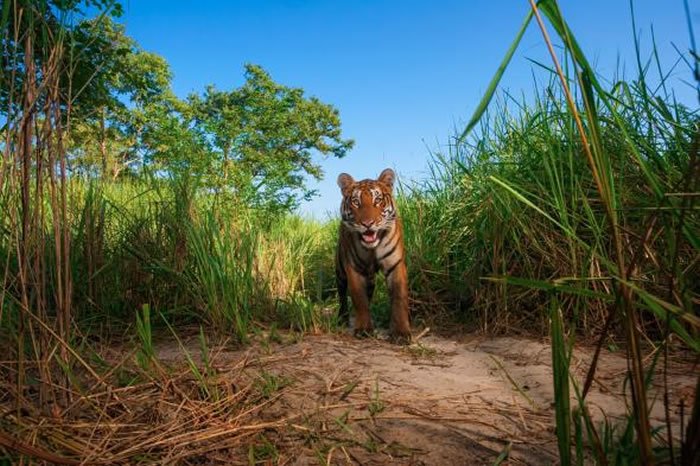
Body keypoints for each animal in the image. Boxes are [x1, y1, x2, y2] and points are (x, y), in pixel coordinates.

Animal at [335, 168, 411, 343]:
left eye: (378, 200)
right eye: (356, 202)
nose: (367, 224)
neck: (372, 249)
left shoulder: (395, 265)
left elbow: (399, 298)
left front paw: (401, 333)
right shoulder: (353, 268)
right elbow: (359, 299)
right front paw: (364, 329)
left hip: (369, 278)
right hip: (340, 270)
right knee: (342, 295)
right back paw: (342, 319)